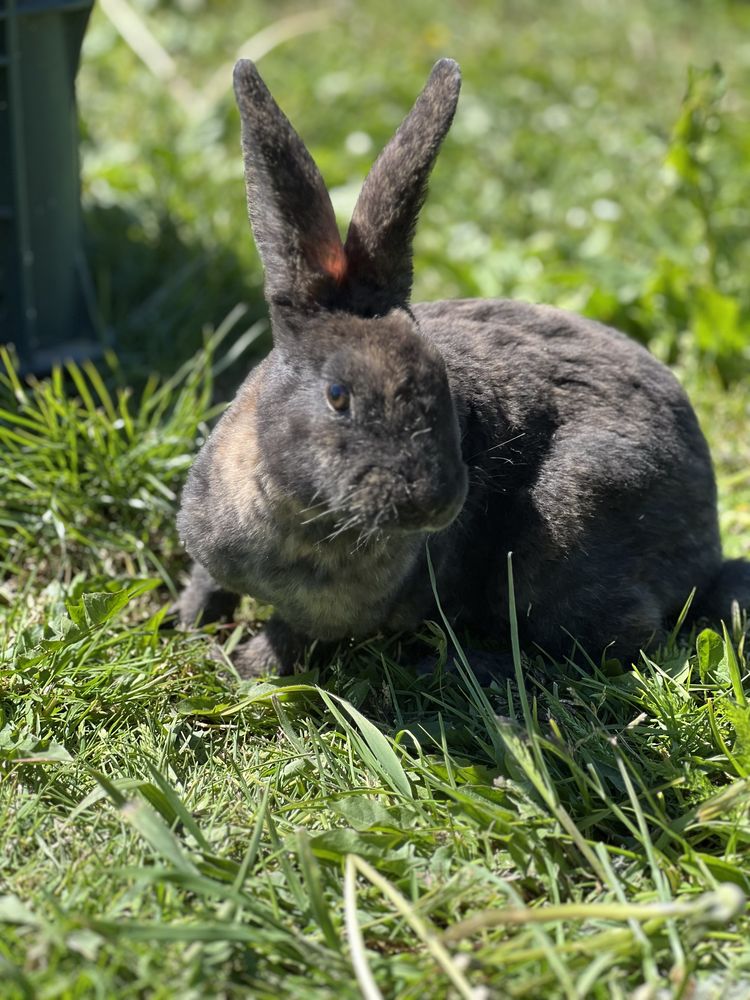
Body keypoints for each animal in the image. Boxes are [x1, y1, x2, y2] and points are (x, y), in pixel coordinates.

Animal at [178, 56, 750, 680]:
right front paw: (189, 625)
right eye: (337, 395)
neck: (300, 509)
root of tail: (706, 542)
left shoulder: (327, 618)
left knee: (614, 644)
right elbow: (208, 582)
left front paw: (238, 664)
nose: (434, 504)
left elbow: (286, 638)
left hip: (571, 522)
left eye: (442, 384)